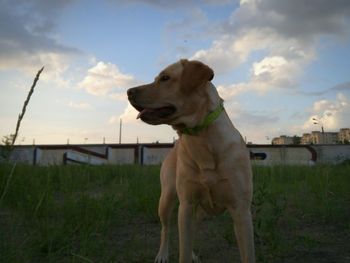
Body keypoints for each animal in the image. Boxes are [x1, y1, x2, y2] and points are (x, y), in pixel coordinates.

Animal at [127, 59, 253, 263]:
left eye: (165, 78)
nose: (128, 92)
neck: (202, 141)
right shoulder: (186, 205)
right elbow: (183, 250)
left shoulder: (241, 211)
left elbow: (248, 254)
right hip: (167, 198)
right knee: (166, 229)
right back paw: (162, 254)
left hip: (199, 211)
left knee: (191, 232)